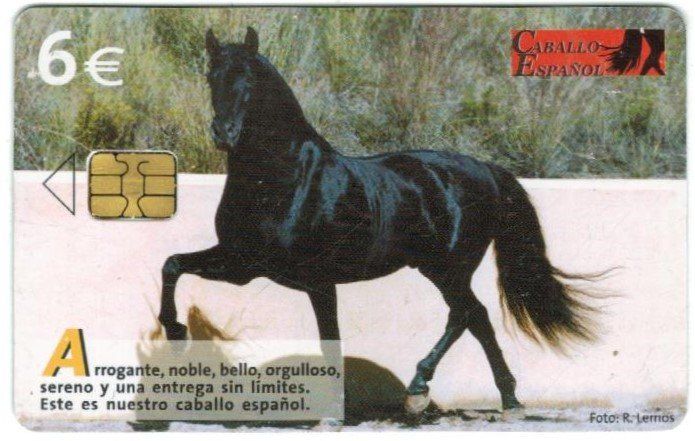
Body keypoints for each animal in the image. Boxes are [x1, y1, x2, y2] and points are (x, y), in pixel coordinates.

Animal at [158, 27, 599, 414]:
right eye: (212, 76)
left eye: (248, 78)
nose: (224, 132)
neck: (284, 179)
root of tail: (485, 170)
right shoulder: (242, 263)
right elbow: (172, 264)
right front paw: (174, 330)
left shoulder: (313, 280)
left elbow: (329, 341)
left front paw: (334, 412)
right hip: (442, 270)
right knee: (477, 319)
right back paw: (507, 399)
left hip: (448, 269)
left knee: (465, 315)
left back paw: (421, 389)